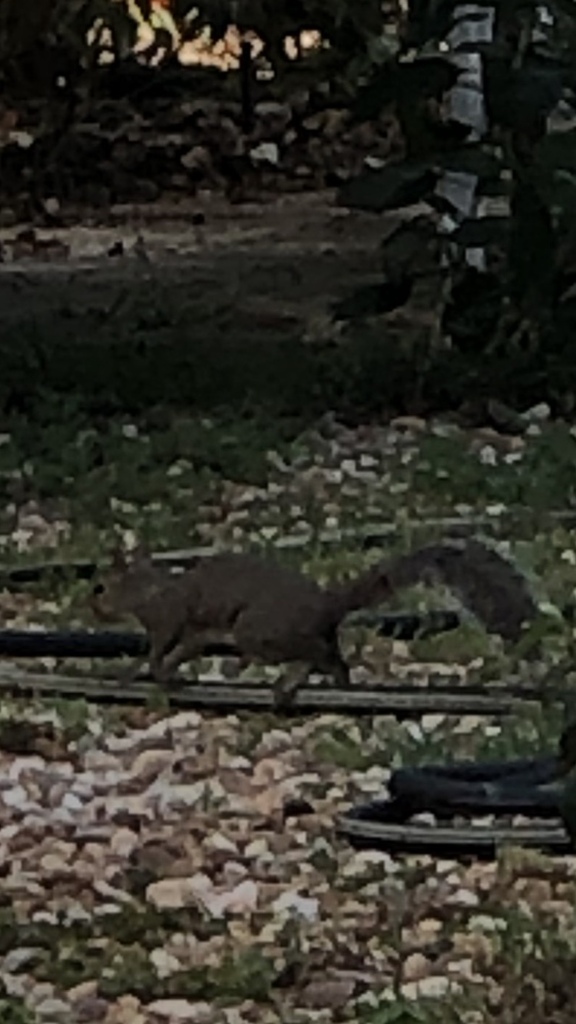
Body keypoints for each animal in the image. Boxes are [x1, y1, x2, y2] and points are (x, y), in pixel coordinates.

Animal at [90, 537, 540, 709]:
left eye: (99, 588)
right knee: (335, 659)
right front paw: (168, 675)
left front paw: (135, 673)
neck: (147, 590)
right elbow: (179, 652)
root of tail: (326, 605)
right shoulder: (193, 634)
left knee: (313, 652)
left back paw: (290, 681)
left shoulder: (169, 619)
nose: (91, 607)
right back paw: (340, 685)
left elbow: (157, 649)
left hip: (258, 631)